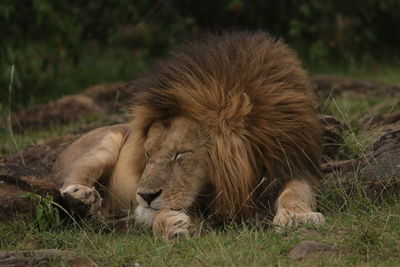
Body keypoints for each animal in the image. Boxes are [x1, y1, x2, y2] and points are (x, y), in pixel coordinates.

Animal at [50, 30, 324, 241]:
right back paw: (82, 198)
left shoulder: (293, 165)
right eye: (147, 154)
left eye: (179, 154)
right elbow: (153, 214)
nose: (145, 195)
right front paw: (170, 224)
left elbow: (295, 192)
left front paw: (296, 217)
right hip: (101, 145)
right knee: (66, 184)